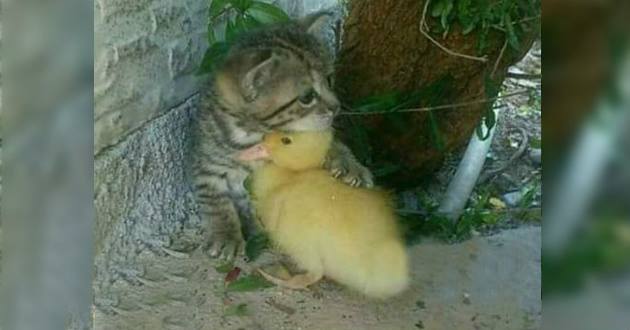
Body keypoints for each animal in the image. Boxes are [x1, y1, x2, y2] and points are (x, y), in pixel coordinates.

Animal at [190, 12, 372, 260]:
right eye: (307, 97)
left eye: (329, 79)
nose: (336, 107)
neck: (256, 133)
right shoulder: (207, 164)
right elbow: (214, 198)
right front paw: (225, 234)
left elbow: (328, 143)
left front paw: (349, 164)